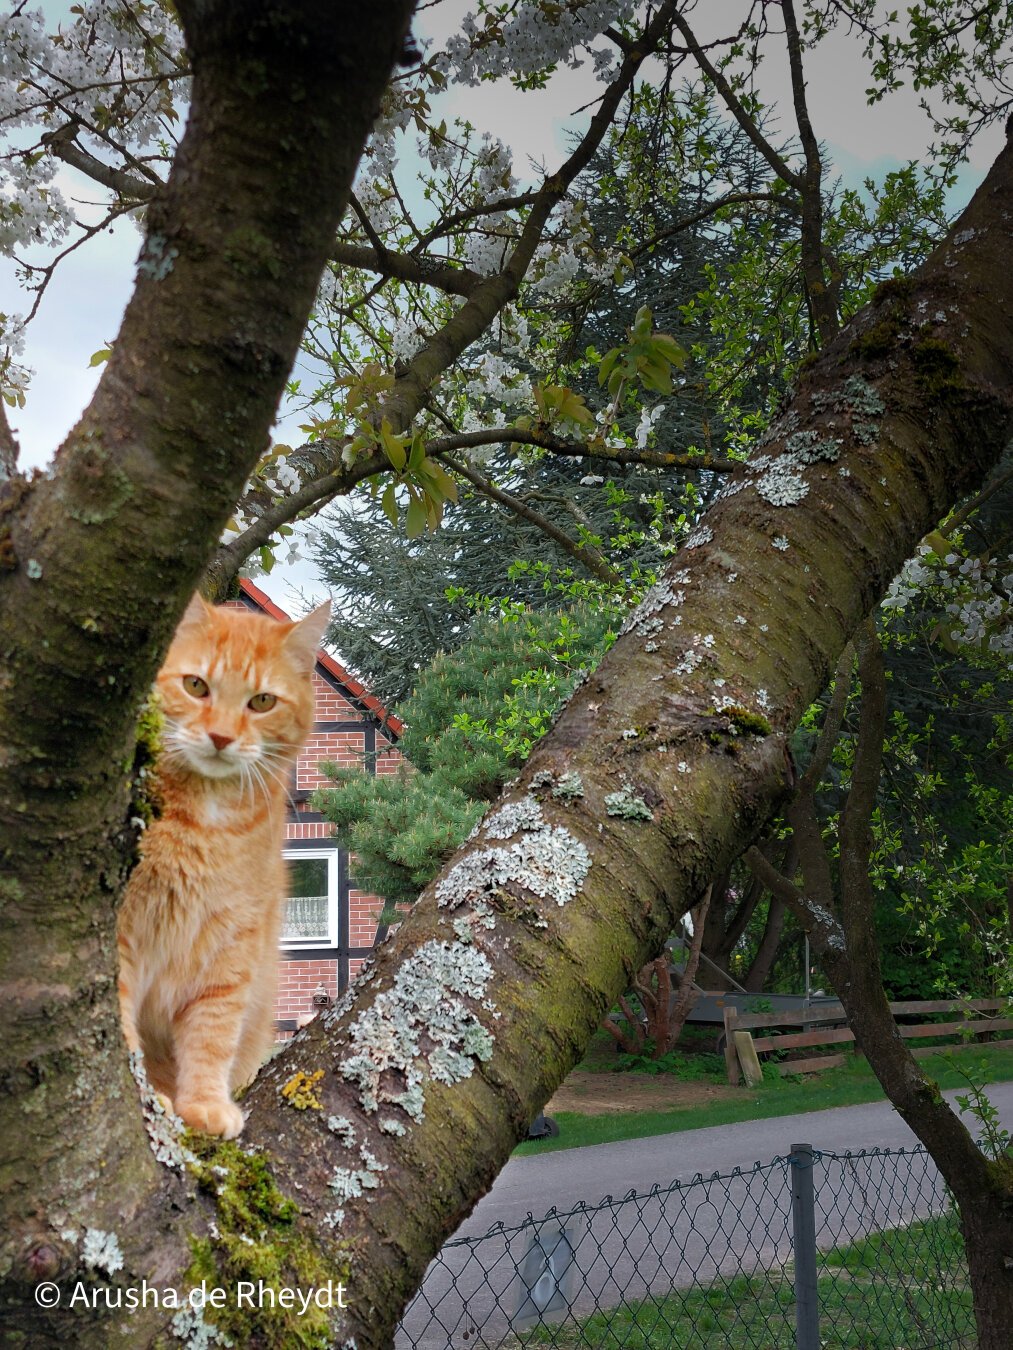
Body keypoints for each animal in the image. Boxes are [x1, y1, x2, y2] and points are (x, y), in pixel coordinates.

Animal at [118, 596, 329, 1134]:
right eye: (196, 686)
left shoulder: (231, 943)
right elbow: (121, 1022)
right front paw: (145, 1095)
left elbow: (211, 1034)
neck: (205, 823)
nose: (220, 737)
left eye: (262, 702)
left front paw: (205, 1103)